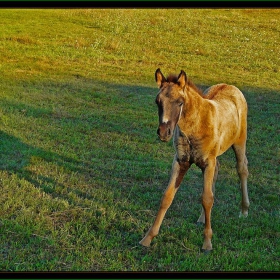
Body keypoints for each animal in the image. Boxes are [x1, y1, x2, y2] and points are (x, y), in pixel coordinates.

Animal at [140, 69, 249, 250]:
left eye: (180, 102)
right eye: (157, 101)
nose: (164, 133)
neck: (195, 126)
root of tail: (230, 86)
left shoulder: (208, 162)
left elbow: (207, 198)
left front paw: (207, 243)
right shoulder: (180, 161)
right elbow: (167, 197)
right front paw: (148, 238)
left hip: (240, 142)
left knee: (242, 169)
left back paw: (244, 210)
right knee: (218, 171)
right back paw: (202, 218)